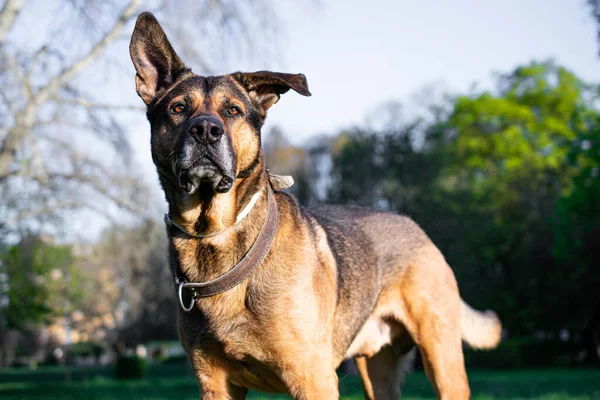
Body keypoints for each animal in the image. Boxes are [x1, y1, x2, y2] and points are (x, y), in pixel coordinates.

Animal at [131, 12, 502, 400]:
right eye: (178, 109)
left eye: (232, 110)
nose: (205, 130)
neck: (215, 236)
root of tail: (419, 230)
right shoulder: (215, 384)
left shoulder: (312, 378)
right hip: (378, 372)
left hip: (442, 358)